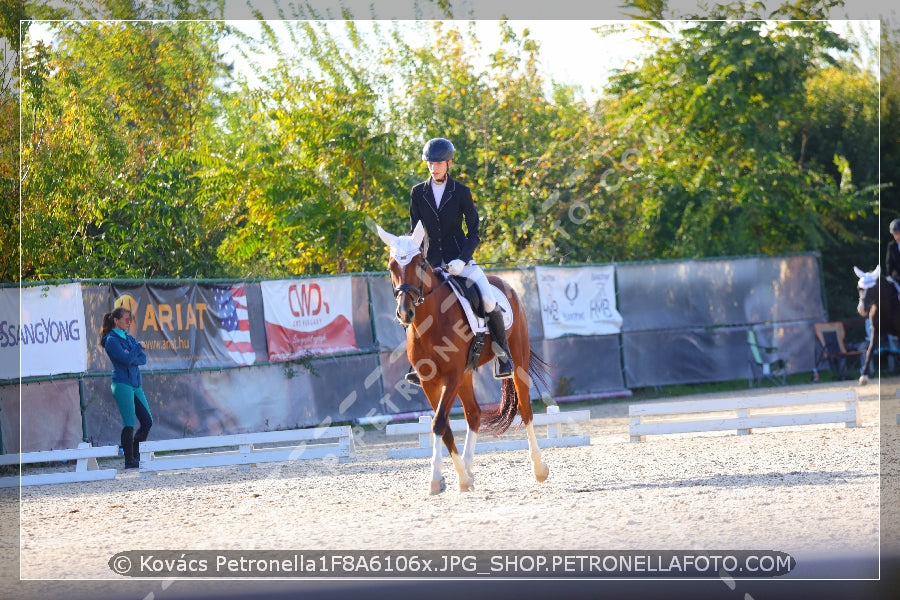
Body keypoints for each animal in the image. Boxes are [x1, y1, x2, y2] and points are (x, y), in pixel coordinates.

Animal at [376, 223, 552, 494]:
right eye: (391, 266)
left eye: (420, 264)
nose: (405, 313)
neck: (431, 321)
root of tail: (503, 283)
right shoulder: (429, 381)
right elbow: (444, 425)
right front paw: (460, 478)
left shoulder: (452, 376)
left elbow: (439, 422)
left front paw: (436, 479)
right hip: (467, 374)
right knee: (474, 414)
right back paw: (468, 470)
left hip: (517, 359)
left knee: (525, 409)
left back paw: (539, 469)